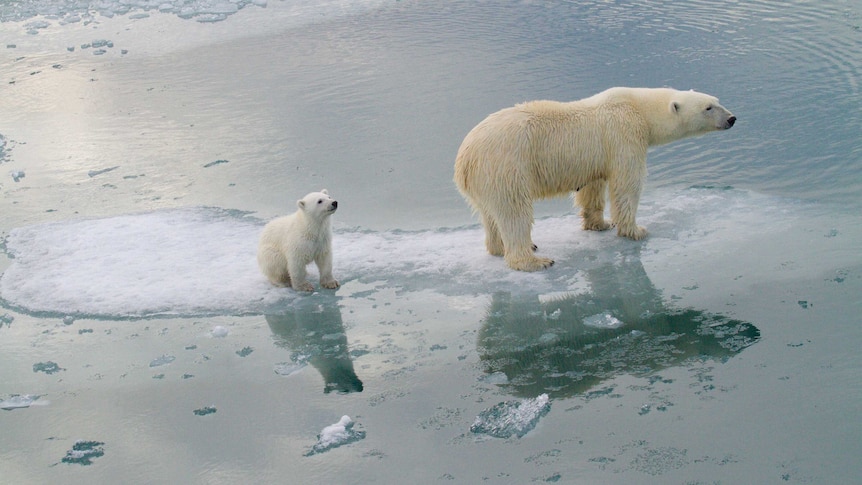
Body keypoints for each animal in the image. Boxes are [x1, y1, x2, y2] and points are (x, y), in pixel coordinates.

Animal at [456, 86, 740, 268]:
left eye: (716, 100)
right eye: (708, 107)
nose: (732, 118)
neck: (639, 107)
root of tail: (464, 159)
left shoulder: (596, 156)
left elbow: (593, 187)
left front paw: (600, 224)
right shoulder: (624, 135)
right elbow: (627, 184)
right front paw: (636, 230)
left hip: (486, 179)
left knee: (490, 214)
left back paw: (501, 247)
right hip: (507, 166)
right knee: (514, 212)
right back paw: (534, 260)